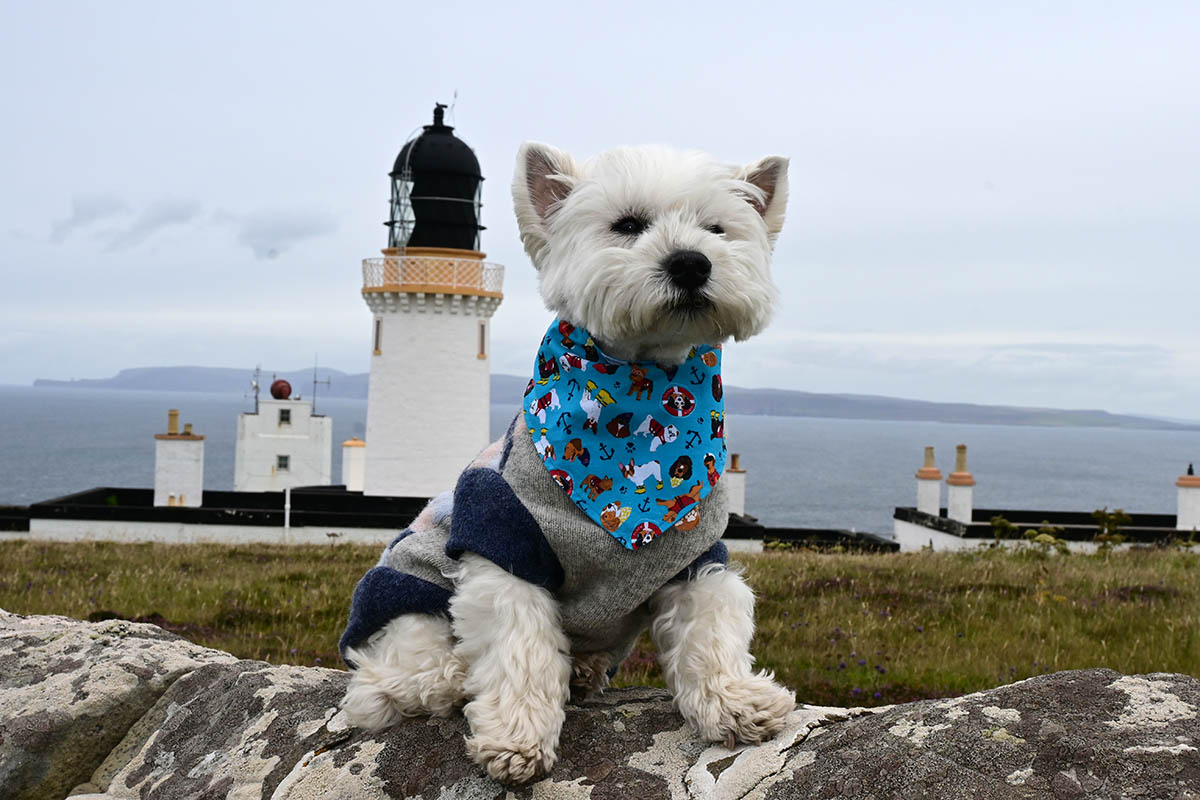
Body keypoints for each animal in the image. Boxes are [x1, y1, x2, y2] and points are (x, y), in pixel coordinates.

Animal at [340, 140, 787, 786]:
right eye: (628, 225)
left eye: (716, 228)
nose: (691, 263)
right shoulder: (505, 542)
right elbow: (519, 647)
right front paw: (517, 737)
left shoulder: (695, 555)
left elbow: (711, 629)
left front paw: (736, 702)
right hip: (409, 608)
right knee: (390, 682)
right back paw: (452, 678)